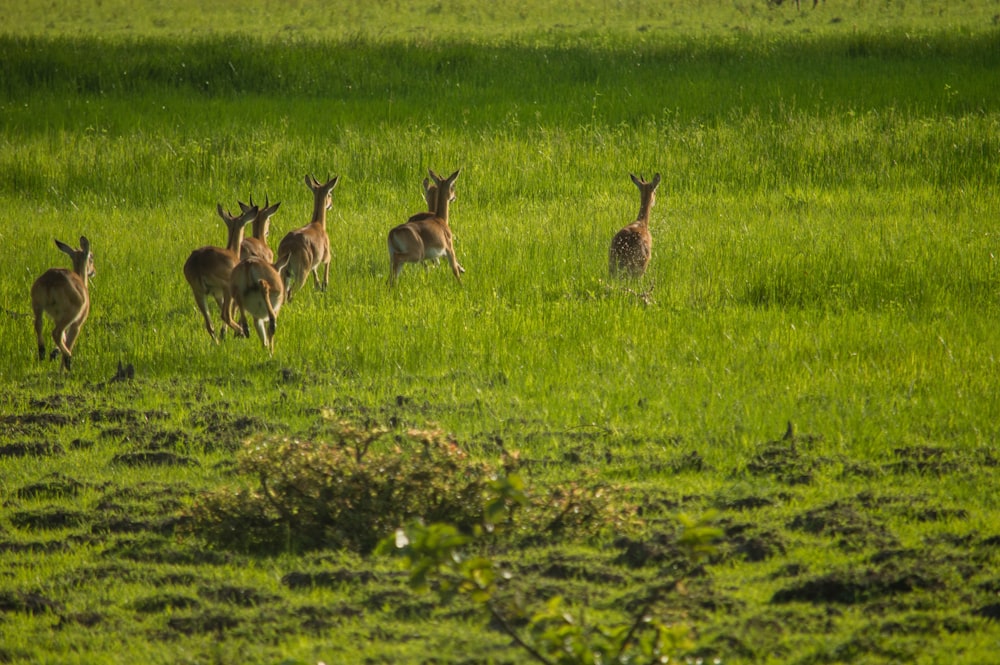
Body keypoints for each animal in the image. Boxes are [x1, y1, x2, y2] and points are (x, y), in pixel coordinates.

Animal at [30, 233, 95, 370]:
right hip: (71, 313)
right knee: (56, 332)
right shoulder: (77, 324)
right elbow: (69, 340)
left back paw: (43, 352)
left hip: (37, 305)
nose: (93, 271)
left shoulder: (56, 318)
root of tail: (50, 283)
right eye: (91, 257)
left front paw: (55, 352)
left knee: (38, 324)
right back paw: (68, 359)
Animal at [185, 202, 260, 342]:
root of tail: (198, 263)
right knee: (225, 315)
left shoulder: (217, 294)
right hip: (226, 287)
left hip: (198, 292)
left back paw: (218, 342)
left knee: (209, 324)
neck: (232, 251)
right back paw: (243, 332)